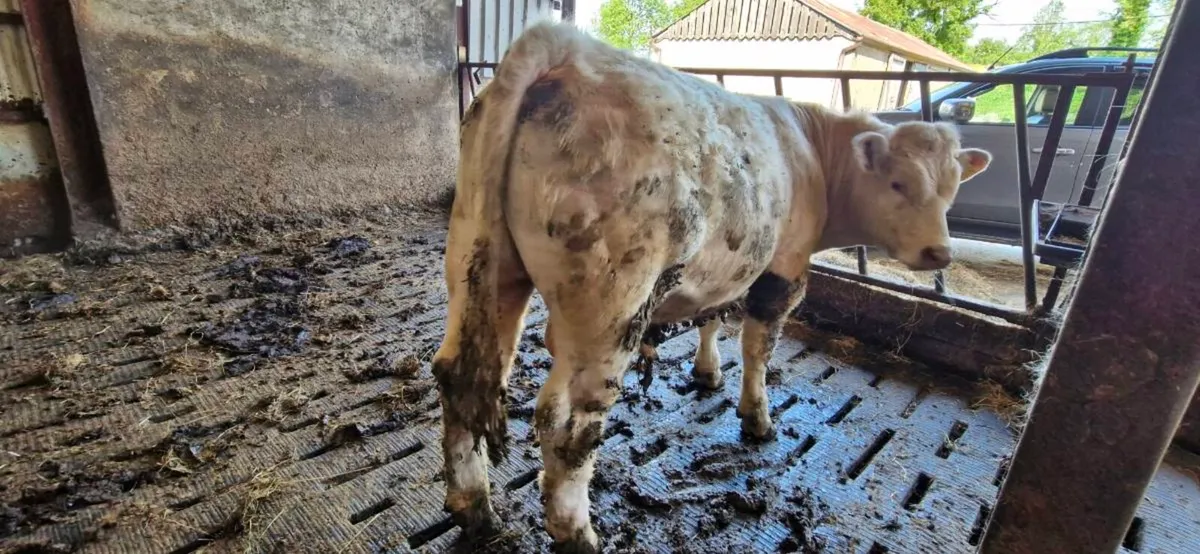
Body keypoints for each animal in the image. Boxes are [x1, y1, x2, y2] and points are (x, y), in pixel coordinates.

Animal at [432, 22, 991, 552]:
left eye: (952, 188)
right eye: (899, 184)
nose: (940, 253)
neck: (813, 152)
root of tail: (566, 50)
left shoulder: (727, 265)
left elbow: (712, 316)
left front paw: (706, 372)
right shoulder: (782, 270)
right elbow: (758, 350)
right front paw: (757, 418)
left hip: (482, 264)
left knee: (456, 376)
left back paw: (474, 508)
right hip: (610, 305)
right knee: (568, 422)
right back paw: (577, 533)